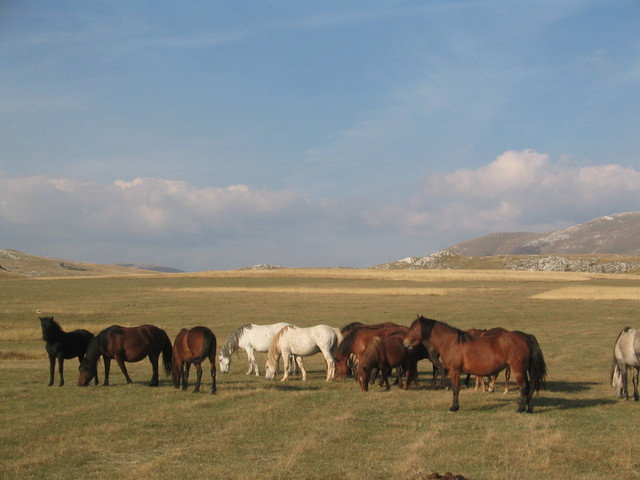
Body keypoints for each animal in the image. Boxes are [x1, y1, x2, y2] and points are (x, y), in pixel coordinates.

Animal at [404, 316, 544, 412]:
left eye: (414, 328)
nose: (405, 343)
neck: (451, 342)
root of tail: (525, 337)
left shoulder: (455, 371)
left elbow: (455, 389)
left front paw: (454, 407)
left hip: (518, 370)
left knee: (524, 387)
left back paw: (520, 409)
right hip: (524, 370)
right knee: (529, 387)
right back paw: (529, 409)